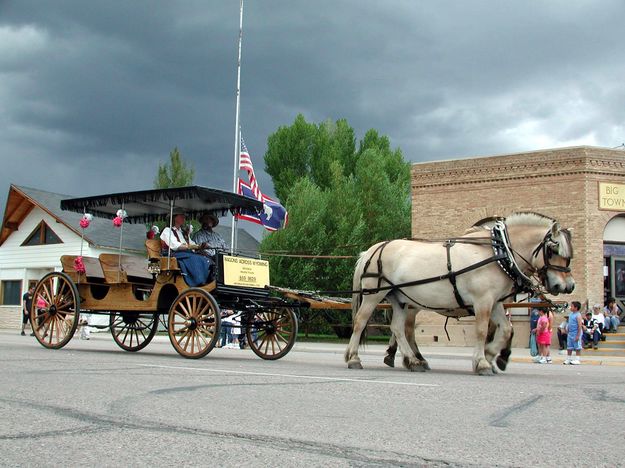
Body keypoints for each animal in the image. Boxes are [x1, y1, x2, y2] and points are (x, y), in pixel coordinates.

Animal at [344, 214, 572, 374]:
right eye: (553, 250)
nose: (568, 286)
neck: (497, 253)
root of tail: (372, 250)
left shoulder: (495, 301)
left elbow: (507, 329)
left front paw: (491, 355)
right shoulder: (482, 301)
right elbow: (481, 331)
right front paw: (483, 362)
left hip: (400, 299)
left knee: (399, 329)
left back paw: (414, 360)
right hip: (374, 294)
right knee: (361, 321)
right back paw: (354, 358)